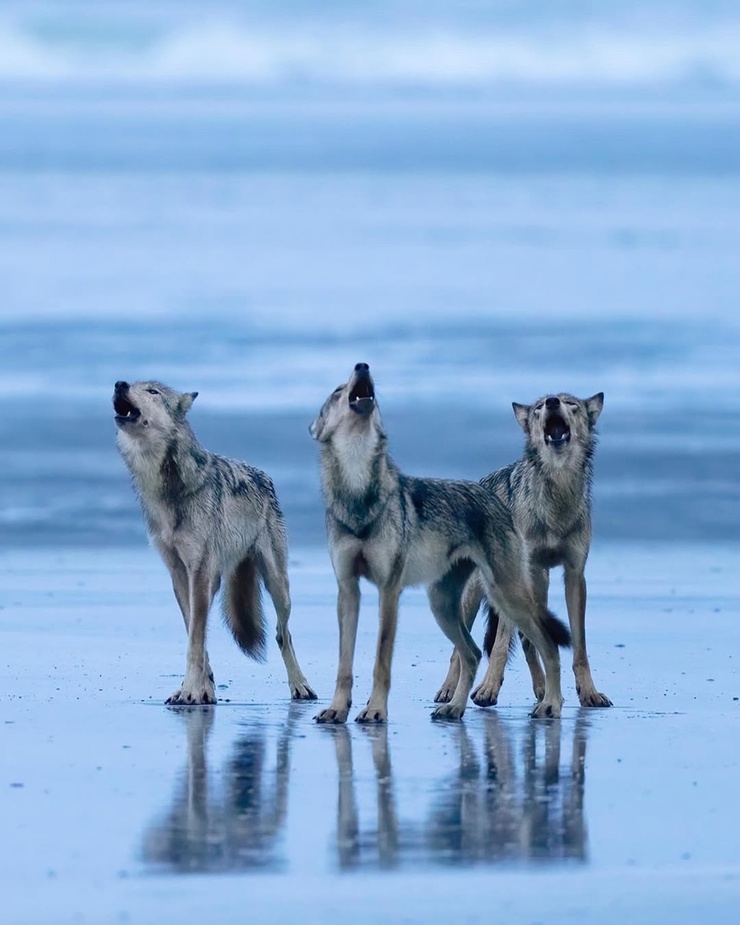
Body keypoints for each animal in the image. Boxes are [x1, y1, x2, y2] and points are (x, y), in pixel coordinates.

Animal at [113, 379, 316, 705]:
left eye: (153, 392)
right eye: (132, 383)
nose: (119, 384)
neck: (167, 488)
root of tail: (265, 476)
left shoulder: (199, 572)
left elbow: (195, 641)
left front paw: (190, 691)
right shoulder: (180, 575)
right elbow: (195, 636)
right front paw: (199, 690)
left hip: (278, 586)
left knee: (282, 633)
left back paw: (300, 686)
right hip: (219, 582)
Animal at [309, 363, 571, 725]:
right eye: (337, 391)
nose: (362, 366)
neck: (358, 493)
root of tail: (492, 495)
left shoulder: (389, 591)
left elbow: (381, 660)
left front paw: (375, 710)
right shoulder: (347, 591)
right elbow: (344, 664)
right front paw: (337, 709)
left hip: (505, 597)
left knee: (547, 644)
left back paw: (551, 705)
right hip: (443, 605)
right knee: (472, 653)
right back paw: (455, 708)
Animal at [434, 392, 611, 710]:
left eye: (571, 404)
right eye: (539, 408)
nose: (552, 401)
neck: (556, 503)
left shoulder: (574, 575)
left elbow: (578, 646)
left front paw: (588, 692)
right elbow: (501, 644)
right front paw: (487, 689)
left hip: (538, 584)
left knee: (531, 639)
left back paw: (543, 689)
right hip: (475, 596)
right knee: (460, 650)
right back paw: (449, 692)